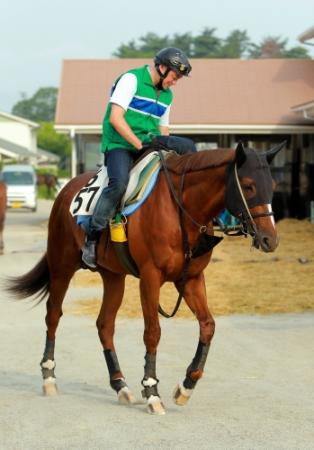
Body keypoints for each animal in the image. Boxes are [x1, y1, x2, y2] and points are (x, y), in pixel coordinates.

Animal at [6, 142, 284, 414]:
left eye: (272, 187)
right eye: (248, 185)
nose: (269, 239)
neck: (179, 208)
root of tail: (66, 190)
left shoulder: (191, 278)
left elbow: (208, 326)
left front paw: (186, 386)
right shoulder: (150, 277)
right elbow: (153, 332)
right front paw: (152, 391)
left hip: (113, 277)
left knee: (105, 324)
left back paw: (120, 385)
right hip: (61, 266)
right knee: (53, 315)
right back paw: (49, 378)